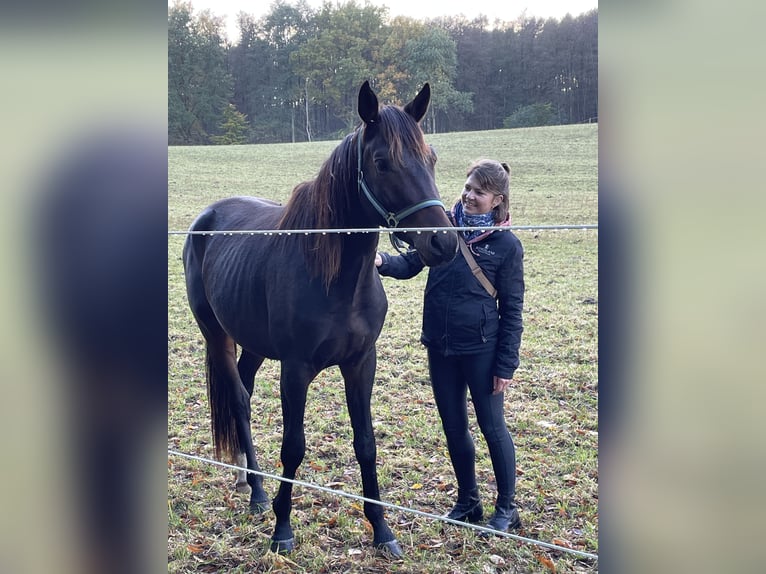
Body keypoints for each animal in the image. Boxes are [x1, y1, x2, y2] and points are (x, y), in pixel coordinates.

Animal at [183, 81, 460, 560]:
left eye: (432, 158)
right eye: (381, 162)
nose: (442, 242)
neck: (337, 278)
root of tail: (206, 219)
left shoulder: (361, 363)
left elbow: (366, 443)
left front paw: (382, 530)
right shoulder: (295, 370)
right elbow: (294, 447)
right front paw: (282, 528)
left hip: (252, 343)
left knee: (244, 392)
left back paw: (245, 480)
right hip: (216, 334)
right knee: (238, 399)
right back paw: (258, 493)